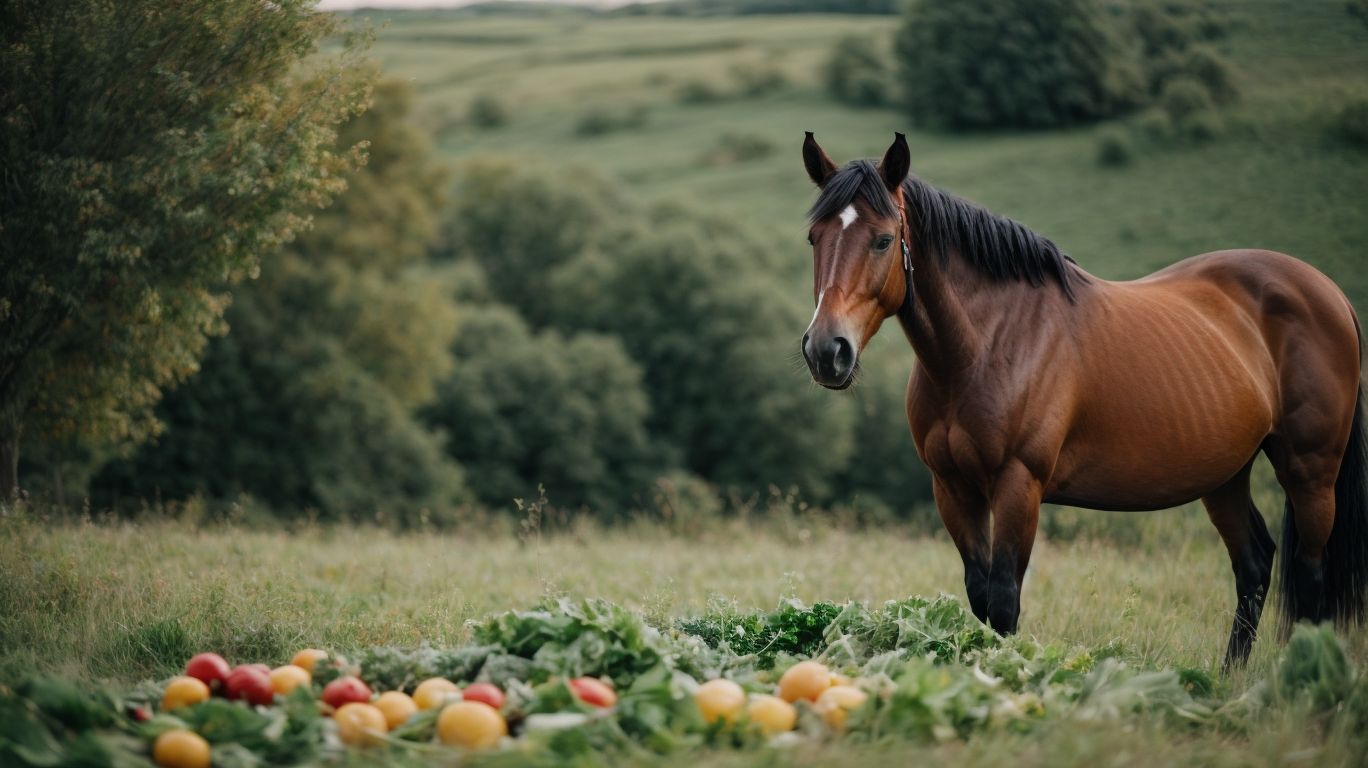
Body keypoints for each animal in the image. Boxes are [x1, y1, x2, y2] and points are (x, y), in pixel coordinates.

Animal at [798, 132, 1367, 667]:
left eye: (883, 240)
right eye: (814, 237)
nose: (827, 350)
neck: (990, 343)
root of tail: (1331, 294)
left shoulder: (1018, 485)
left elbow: (1004, 601)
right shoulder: (953, 488)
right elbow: (980, 597)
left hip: (1310, 472)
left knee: (1311, 578)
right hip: (1226, 475)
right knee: (1253, 566)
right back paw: (1230, 681)